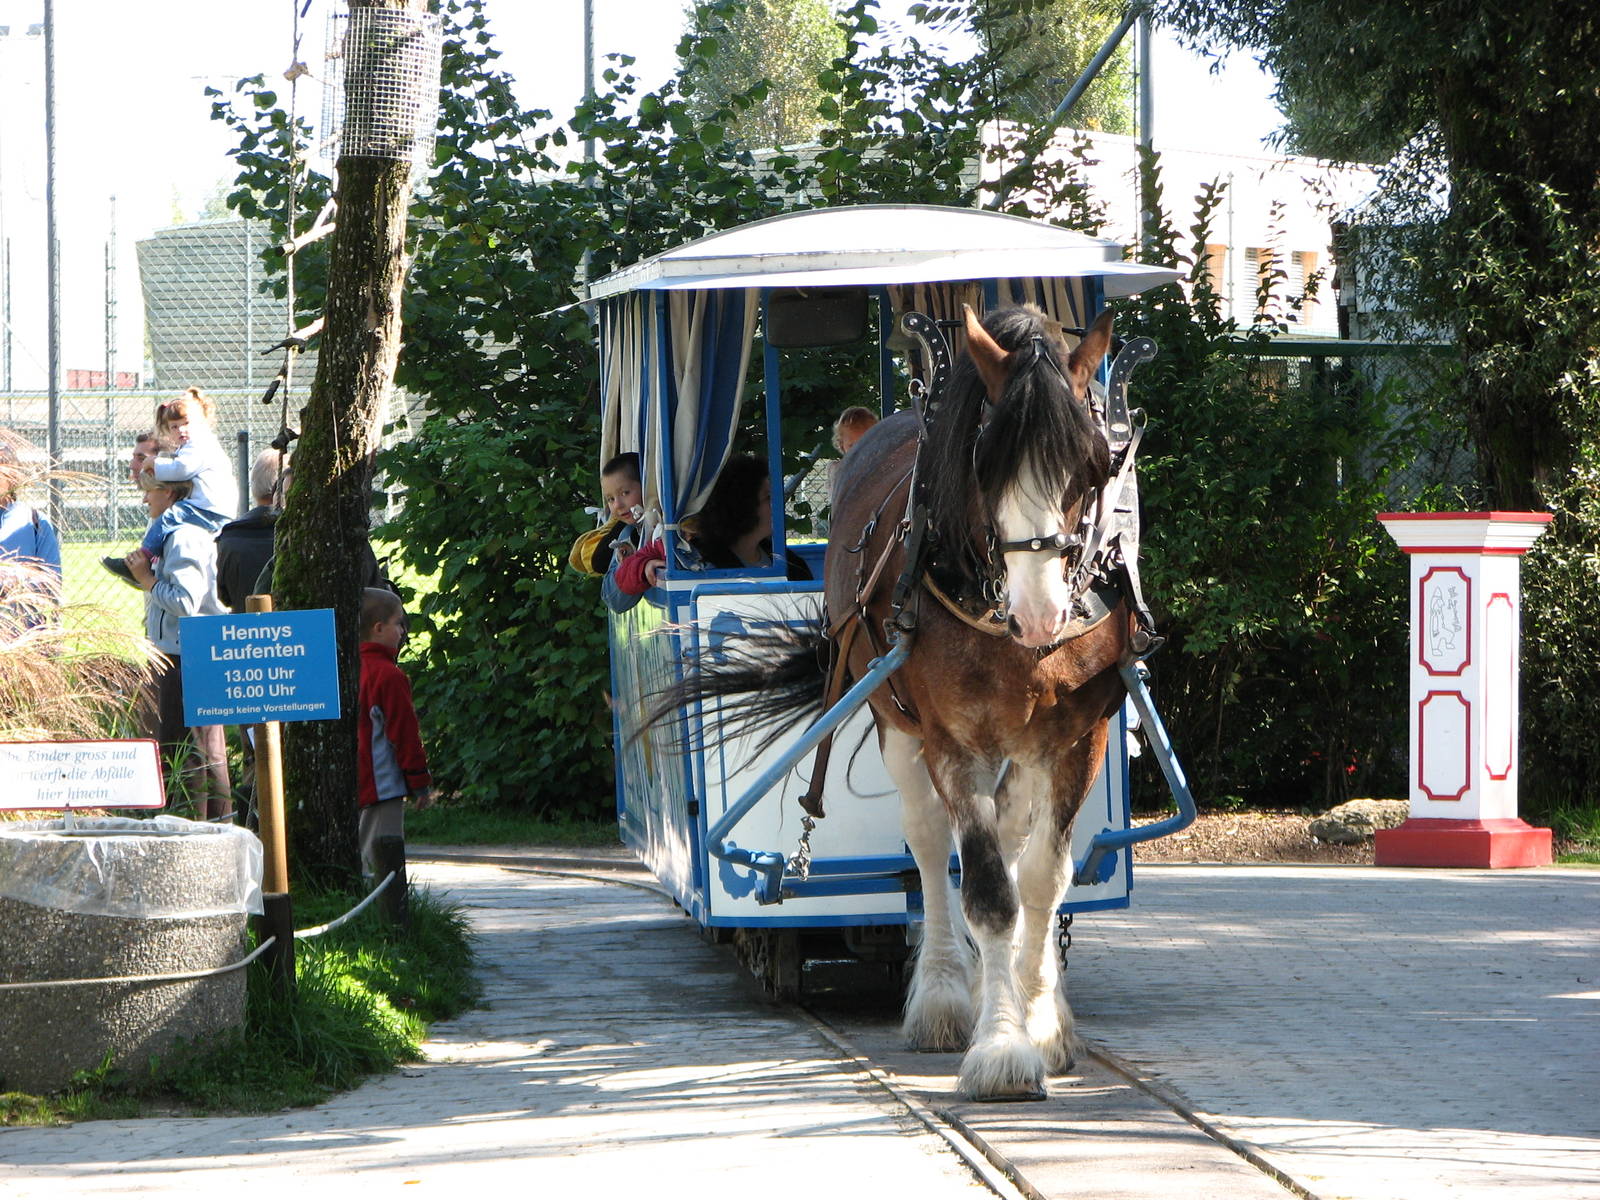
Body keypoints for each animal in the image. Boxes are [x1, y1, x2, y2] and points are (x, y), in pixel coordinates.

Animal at [661, 302, 1133, 1101]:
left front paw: (1042, 1023)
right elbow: (986, 894)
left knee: (1008, 838)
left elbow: (1043, 879)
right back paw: (944, 995)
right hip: (898, 723)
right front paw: (1001, 1049)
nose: (1041, 615)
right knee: (929, 841)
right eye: (984, 462)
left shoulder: (1077, 737)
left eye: (1094, 463)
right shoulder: (951, 738)